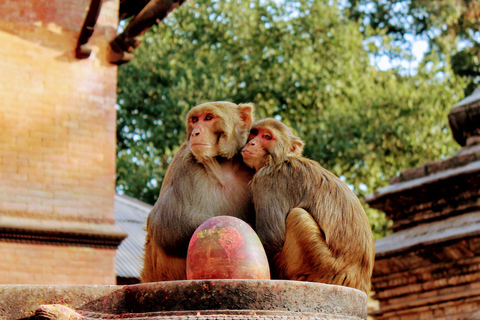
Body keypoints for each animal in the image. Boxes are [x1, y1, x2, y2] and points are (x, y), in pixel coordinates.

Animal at [142, 101, 256, 282]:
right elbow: (166, 224)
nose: (195, 132)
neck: (222, 165)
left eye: (209, 117)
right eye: (195, 120)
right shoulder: (184, 166)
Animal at [242, 117, 374, 292]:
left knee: (298, 216)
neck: (279, 159)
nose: (252, 143)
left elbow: (272, 238)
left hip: (321, 265)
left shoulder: (267, 179)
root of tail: (359, 283)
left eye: (267, 137)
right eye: (254, 132)